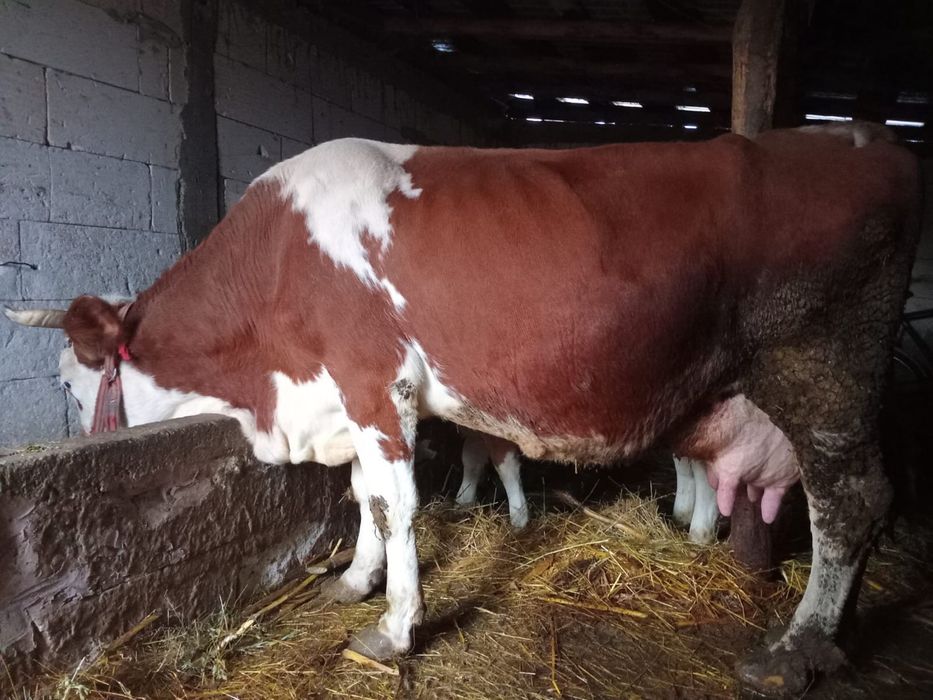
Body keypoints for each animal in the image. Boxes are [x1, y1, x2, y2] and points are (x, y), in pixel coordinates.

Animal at [6, 122, 919, 695]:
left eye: (72, 383)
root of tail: (865, 140)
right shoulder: (348, 401)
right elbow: (363, 497)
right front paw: (356, 578)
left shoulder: (376, 382)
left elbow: (396, 502)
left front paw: (394, 624)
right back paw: (830, 640)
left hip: (823, 368)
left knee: (851, 501)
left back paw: (796, 650)